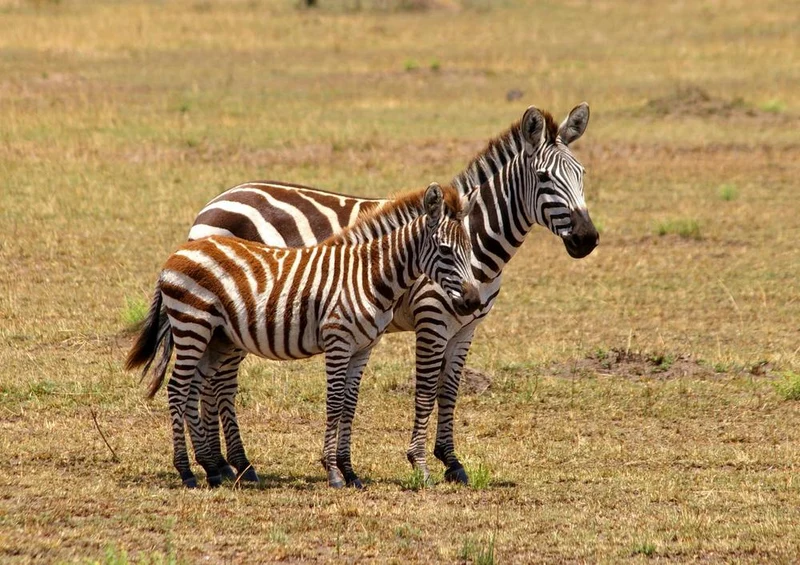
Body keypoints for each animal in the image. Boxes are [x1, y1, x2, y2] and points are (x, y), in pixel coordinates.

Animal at [126, 182, 481, 488]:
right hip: (193, 325)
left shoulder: (363, 347)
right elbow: (334, 403)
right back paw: (187, 472)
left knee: (194, 390)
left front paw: (350, 472)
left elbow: (350, 405)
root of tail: (177, 253)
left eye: (469, 249)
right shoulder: (338, 340)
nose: (474, 301)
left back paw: (212, 470)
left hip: (214, 337)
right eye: (446, 251)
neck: (368, 274)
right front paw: (333, 473)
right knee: (177, 389)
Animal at [190, 103, 598, 485]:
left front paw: (452, 461)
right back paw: (232, 465)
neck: (474, 240)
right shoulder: (432, 318)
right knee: (218, 382)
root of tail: (215, 202)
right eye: (543, 177)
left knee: (211, 379)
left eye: (582, 175)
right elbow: (426, 389)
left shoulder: (467, 326)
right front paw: (419, 462)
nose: (587, 239)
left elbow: (450, 390)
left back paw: (223, 464)